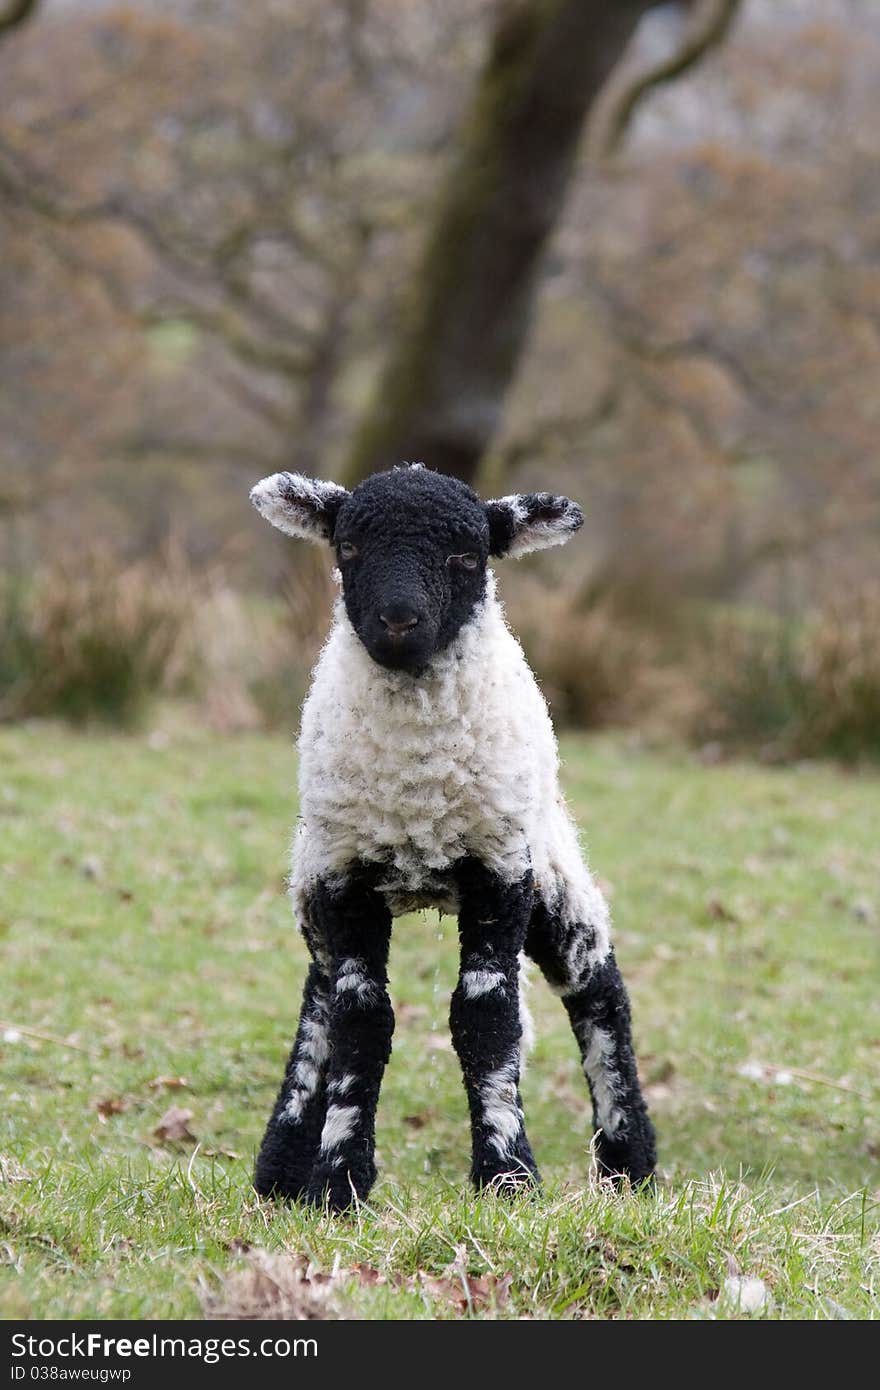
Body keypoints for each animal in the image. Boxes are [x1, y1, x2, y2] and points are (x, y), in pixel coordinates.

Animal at [247, 464, 653, 1206]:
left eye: (469, 556)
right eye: (347, 548)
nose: (398, 621)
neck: (418, 792)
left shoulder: (499, 871)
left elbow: (485, 1018)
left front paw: (507, 1174)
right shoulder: (345, 877)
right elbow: (361, 1021)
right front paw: (336, 1180)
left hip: (548, 863)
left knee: (598, 985)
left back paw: (627, 1162)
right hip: (314, 872)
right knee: (319, 993)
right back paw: (281, 1162)